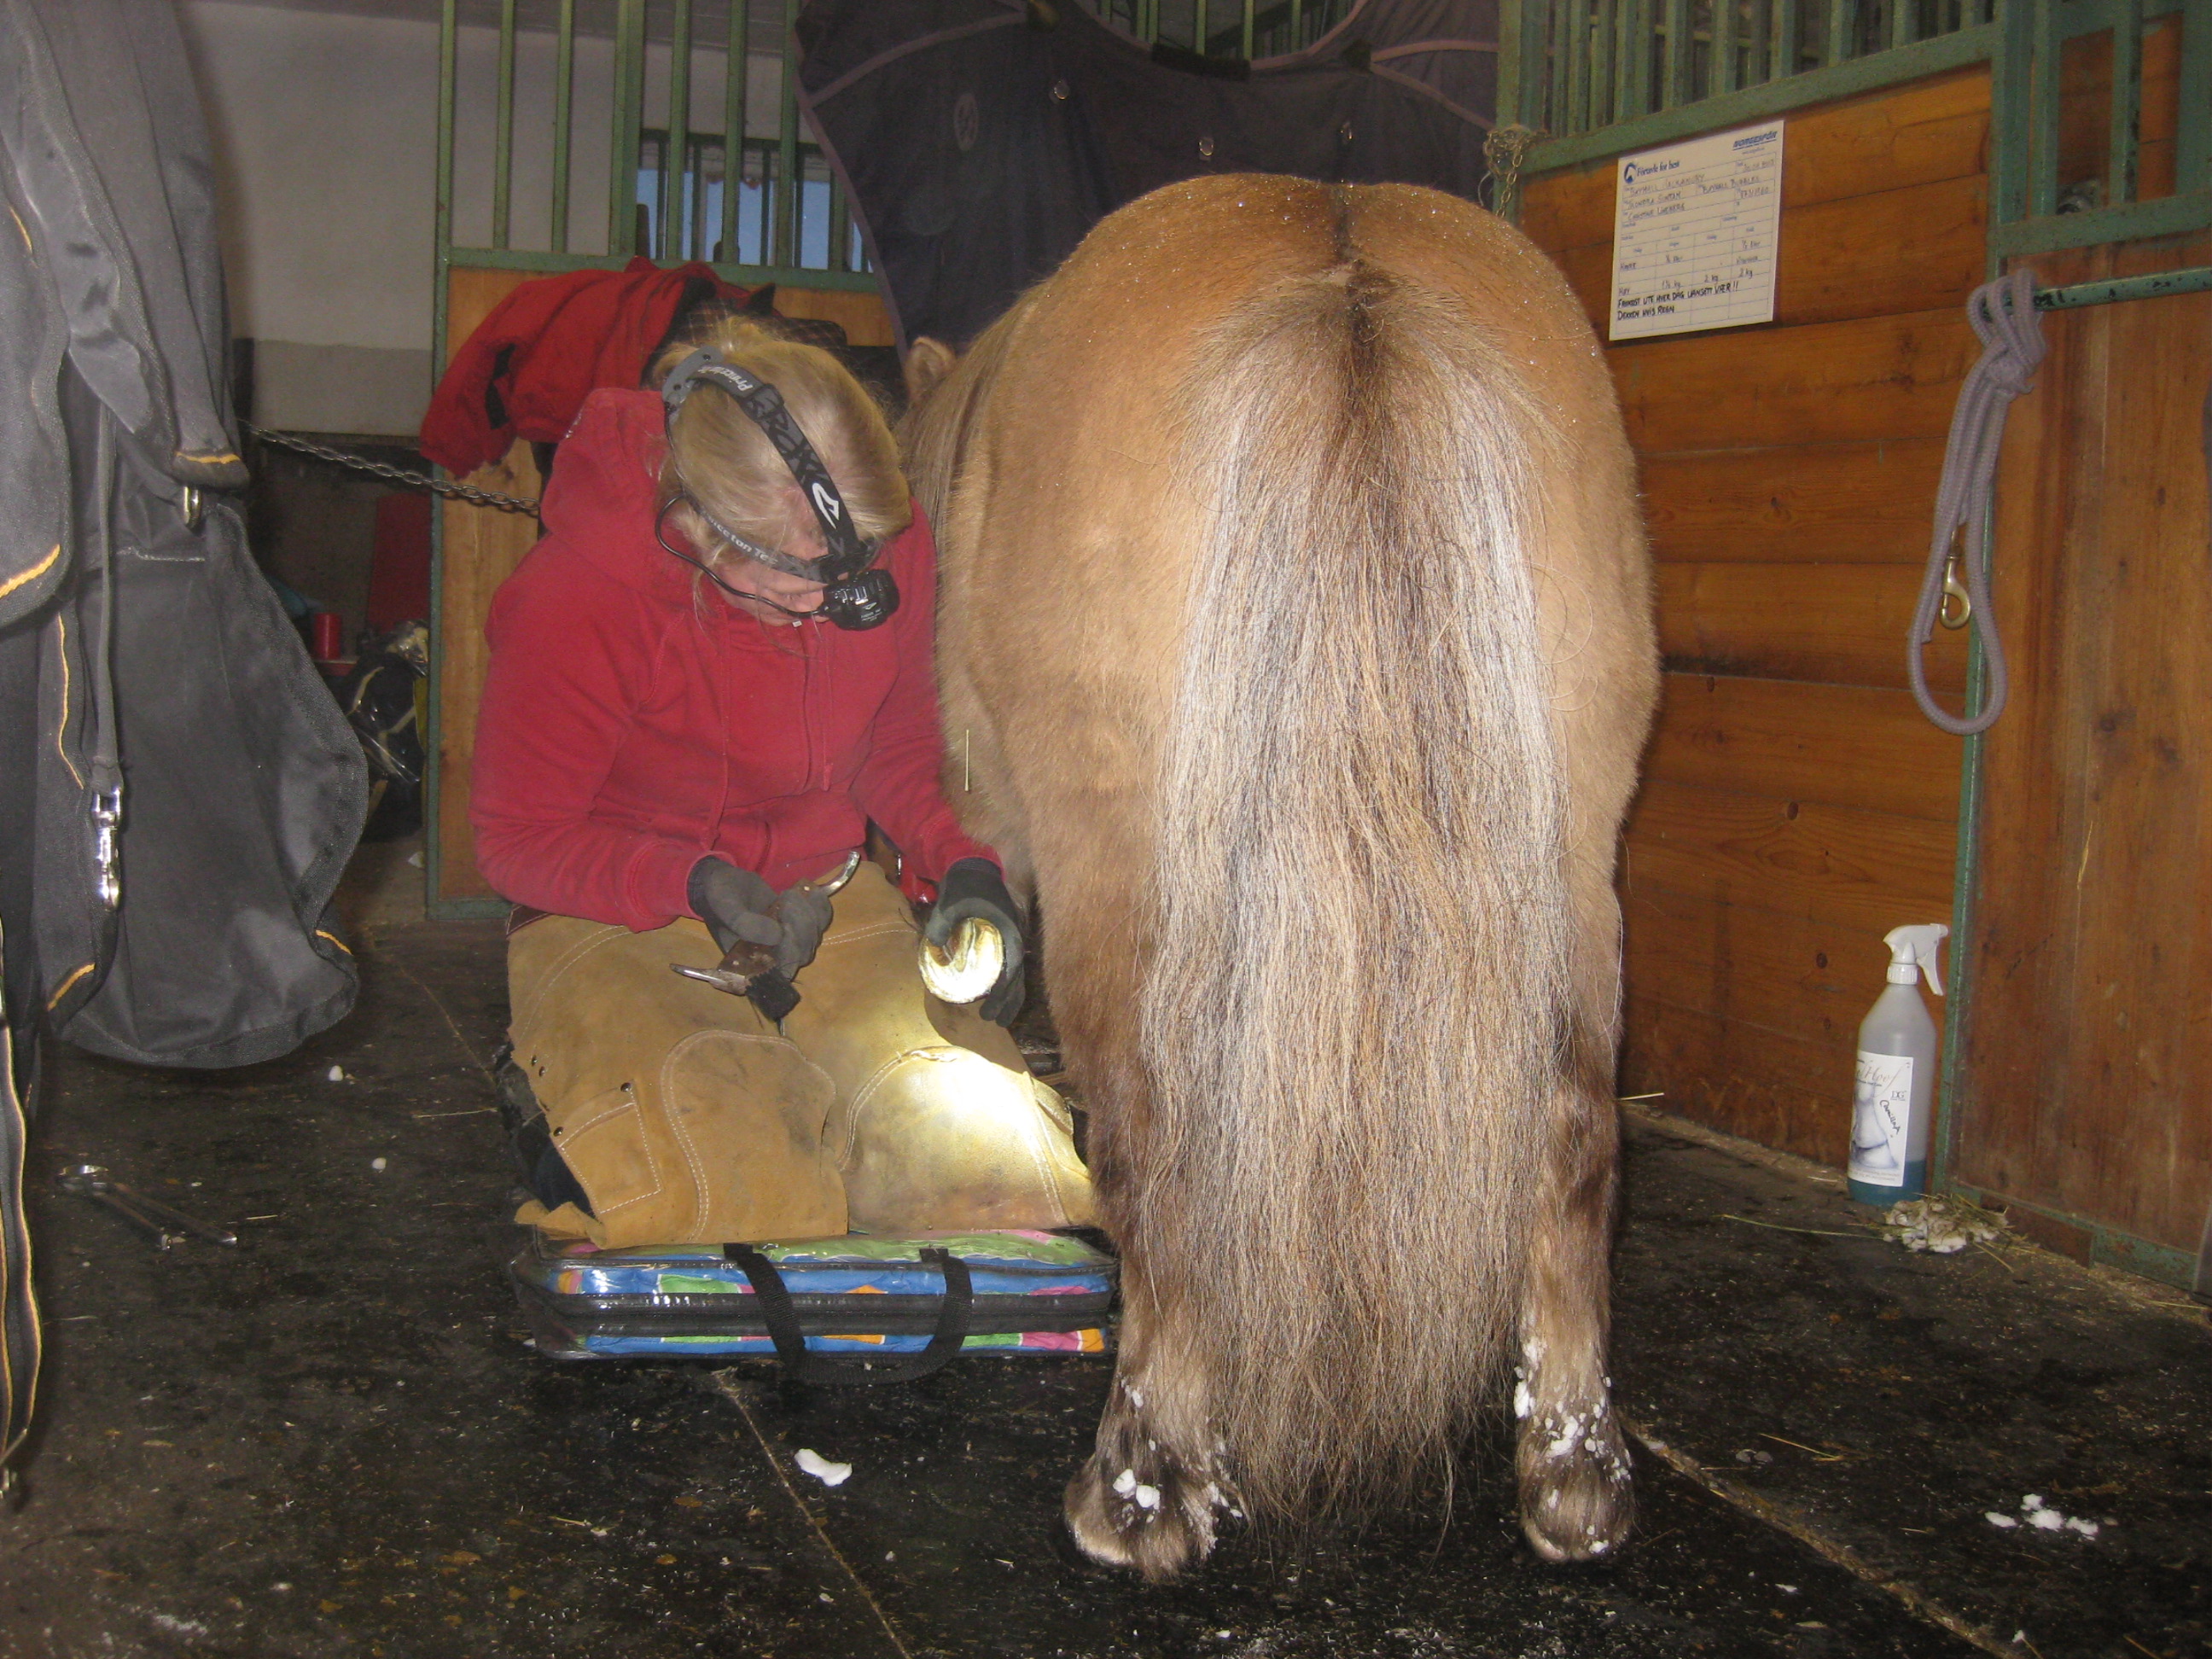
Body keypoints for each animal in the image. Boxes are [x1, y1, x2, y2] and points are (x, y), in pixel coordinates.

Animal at [900, 174, 1657, 1580]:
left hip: (1123, 885)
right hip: (1579, 860)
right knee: (1575, 1135)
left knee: (1154, 1144)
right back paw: (1576, 1476)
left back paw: (1142, 1488)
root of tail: (1345, 266)